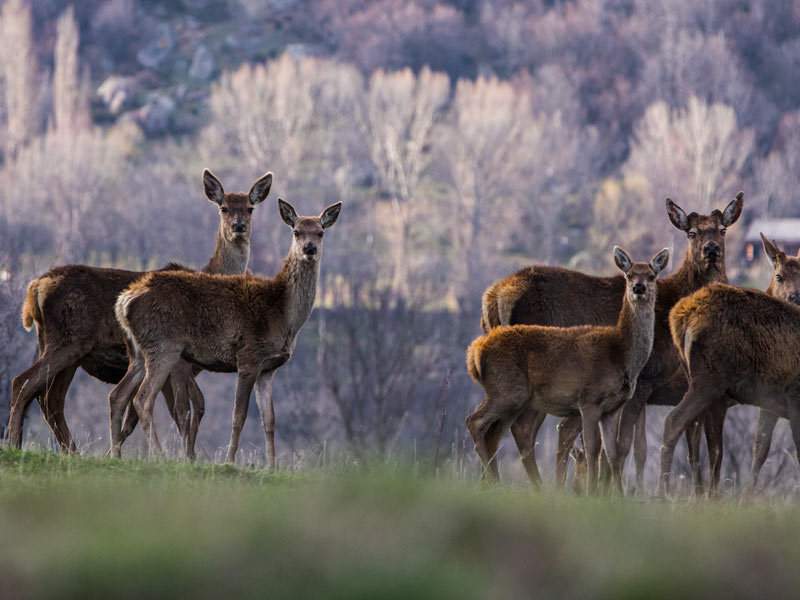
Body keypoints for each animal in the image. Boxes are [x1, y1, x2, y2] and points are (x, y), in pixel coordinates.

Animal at [4, 170, 276, 460]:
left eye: (250, 208)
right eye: (223, 207)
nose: (238, 226)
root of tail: (37, 287)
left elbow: (173, 410)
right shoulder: (179, 363)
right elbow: (183, 410)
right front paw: (184, 457)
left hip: (62, 348)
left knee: (48, 397)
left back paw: (65, 450)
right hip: (67, 341)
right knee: (24, 383)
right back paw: (15, 444)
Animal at [112, 199, 340, 466]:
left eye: (320, 232)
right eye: (296, 231)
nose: (309, 248)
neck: (282, 314)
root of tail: (124, 301)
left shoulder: (268, 369)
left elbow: (269, 420)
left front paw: (272, 466)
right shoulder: (248, 356)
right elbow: (238, 415)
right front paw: (230, 460)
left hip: (138, 351)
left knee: (118, 395)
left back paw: (115, 453)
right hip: (163, 346)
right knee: (142, 398)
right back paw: (158, 455)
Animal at [466, 246, 664, 494]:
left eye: (652, 275)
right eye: (629, 275)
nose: (639, 287)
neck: (621, 353)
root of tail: (474, 353)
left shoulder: (612, 408)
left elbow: (613, 452)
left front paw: (616, 495)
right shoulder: (588, 400)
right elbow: (593, 449)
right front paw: (591, 493)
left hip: (514, 399)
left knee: (495, 432)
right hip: (506, 391)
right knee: (476, 422)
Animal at [664, 274, 800, 496]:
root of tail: (681, 316)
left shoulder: (772, 402)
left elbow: (760, 446)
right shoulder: (794, 397)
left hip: (696, 379)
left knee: (694, 436)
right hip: (709, 379)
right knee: (674, 421)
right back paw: (663, 490)